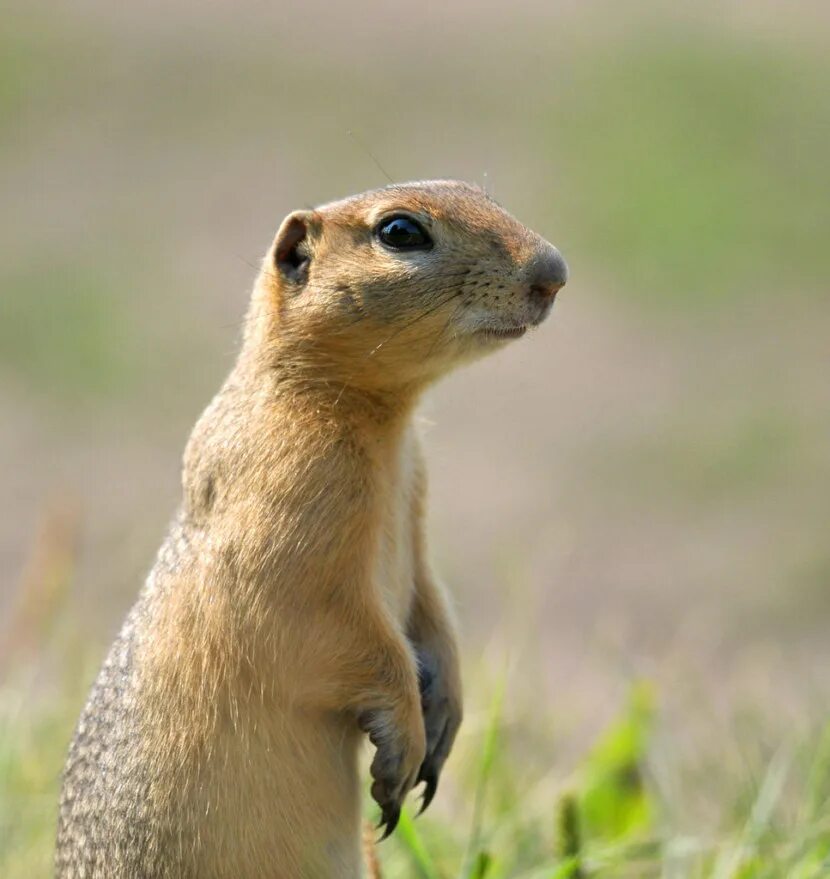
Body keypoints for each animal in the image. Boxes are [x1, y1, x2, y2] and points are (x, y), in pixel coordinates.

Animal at [55, 180, 568, 879]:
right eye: (400, 232)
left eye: (479, 190)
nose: (554, 272)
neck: (383, 421)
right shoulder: (288, 504)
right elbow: (327, 626)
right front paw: (403, 741)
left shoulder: (416, 503)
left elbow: (432, 601)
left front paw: (445, 716)